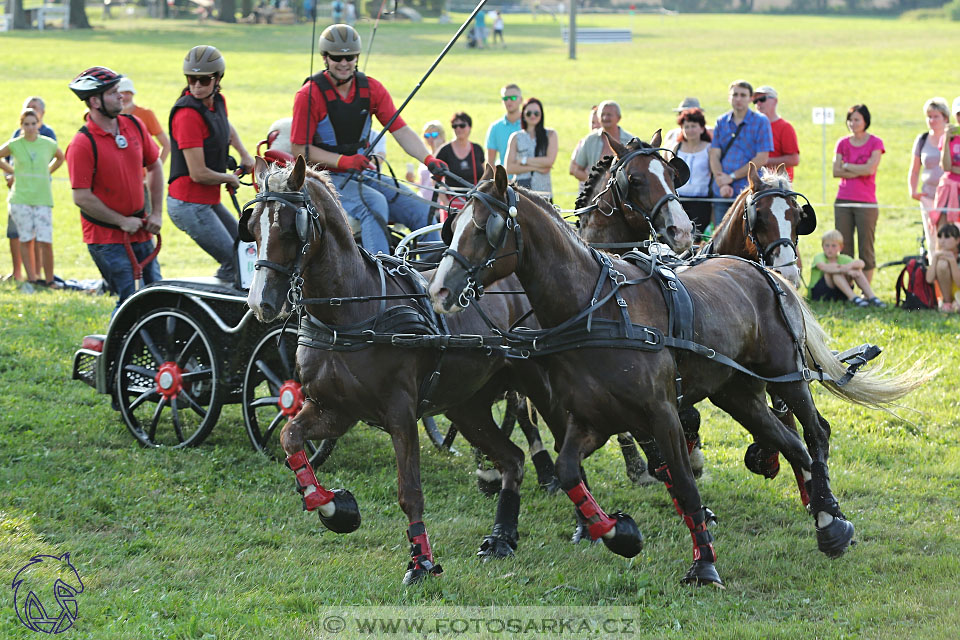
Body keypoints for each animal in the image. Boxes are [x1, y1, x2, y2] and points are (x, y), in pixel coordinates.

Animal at [240, 156, 552, 584]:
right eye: (253, 226)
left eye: (290, 227)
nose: (261, 302)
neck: (352, 312)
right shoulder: (334, 410)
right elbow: (290, 438)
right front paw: (334, 508)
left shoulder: (400, 414)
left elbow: (410, 492)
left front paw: (421, 561)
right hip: (468, 407)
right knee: (512, 460)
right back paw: (502, 537)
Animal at [430, 165, 928, 584]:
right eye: (453, 225)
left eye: (487, 228)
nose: (439, 289)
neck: (597, 309)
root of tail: (762, 273)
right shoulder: (592, 420)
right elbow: (571, 472)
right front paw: (619, 534)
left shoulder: (662, 413)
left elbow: (686, 484)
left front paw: (704, 565)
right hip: (738, 394)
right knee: (792, 445)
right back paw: (825, 518)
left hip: (785, 377)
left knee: (814, 435)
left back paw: (829, 518)